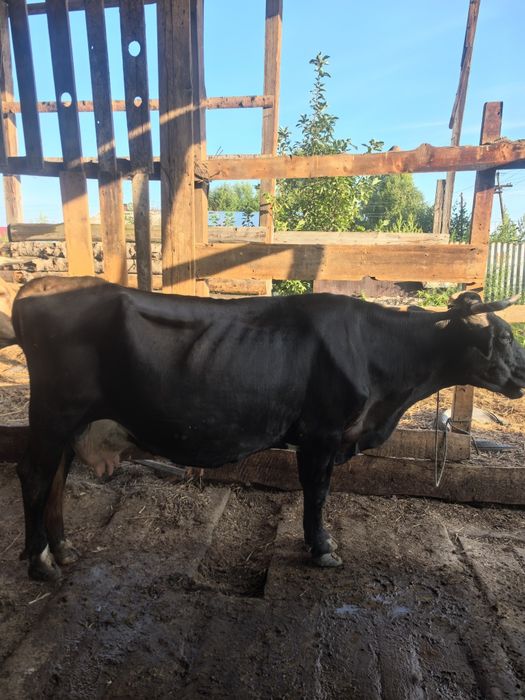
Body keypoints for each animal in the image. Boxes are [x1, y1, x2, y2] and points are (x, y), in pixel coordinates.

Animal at [6, 276, 525, 581]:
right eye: (503, 336)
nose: (523, 373)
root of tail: (40, 285)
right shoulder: (322, 434)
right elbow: (317, 494)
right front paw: (322, 549)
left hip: (70, 420)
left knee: (57, 475)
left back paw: (64, 549)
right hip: (53, 412)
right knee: (33, 474)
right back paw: (40, 562)